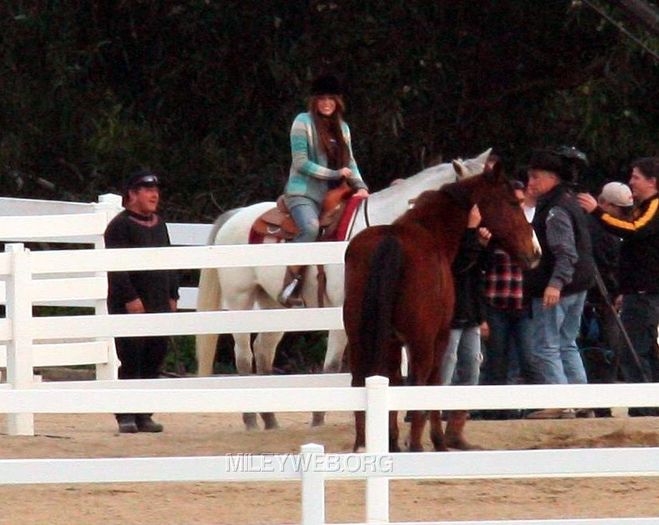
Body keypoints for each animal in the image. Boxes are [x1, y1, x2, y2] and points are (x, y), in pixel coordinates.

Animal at [193, 148, 492, 430]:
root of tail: (235, 215)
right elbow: (334, 366)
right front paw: (318, 420)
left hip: (273, 306)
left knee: (264, 351)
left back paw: (270, 421)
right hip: (240, 300)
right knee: (244, 355)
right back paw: (251, 420)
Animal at [342, 160, 540, 450]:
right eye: (514, 203)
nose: (535, 252)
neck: (431, 232)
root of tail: (390, 241)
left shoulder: (392, 341)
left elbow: (393, 379)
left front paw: (392, 440)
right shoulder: (440, 336)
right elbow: (434, 382)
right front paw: (436, 440)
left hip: (358, 338)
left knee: (359, 379)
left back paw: (362, 444)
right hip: (422, 342)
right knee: (419, 382)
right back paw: (416, 445)